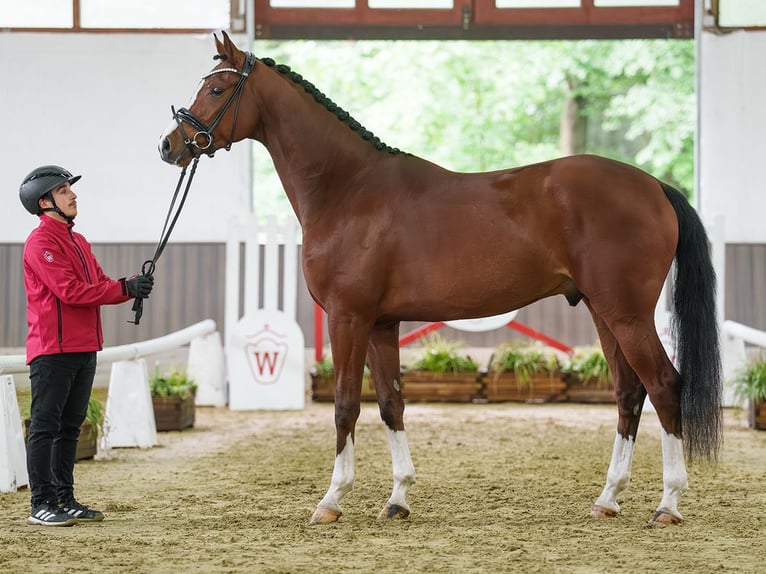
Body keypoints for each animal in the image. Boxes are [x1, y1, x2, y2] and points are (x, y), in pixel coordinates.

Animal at [159, 32, 721, 526]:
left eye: (216, 89)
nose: (170, 146)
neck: (348, 190)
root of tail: (654, 186)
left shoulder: (348, 318)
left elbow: (344, 405)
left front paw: (332, 500)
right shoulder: (381, 324)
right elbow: (390, 404)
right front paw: (398, 499)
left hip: (627, 315)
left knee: (665, 385)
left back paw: (668, 504)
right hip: (605, 313)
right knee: (629, 394)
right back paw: (607, 499)